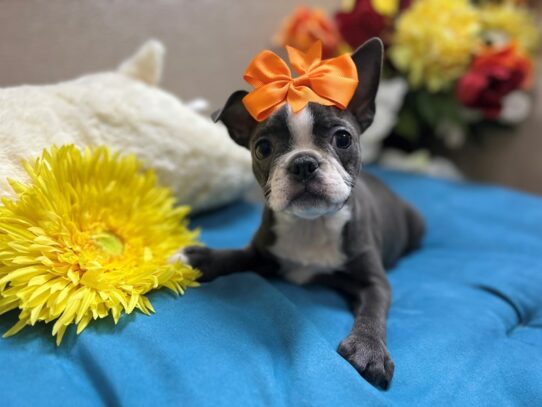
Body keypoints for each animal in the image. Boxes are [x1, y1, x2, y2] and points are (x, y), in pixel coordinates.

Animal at [185, 39, 428, 392]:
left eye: (343, 138)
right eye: (262, 148)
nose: (303, 163)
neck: (312, 224)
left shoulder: (374, 281)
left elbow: (372, 310)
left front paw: (369, 349)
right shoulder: (263, 253)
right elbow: (235, 256)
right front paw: (200, 258)